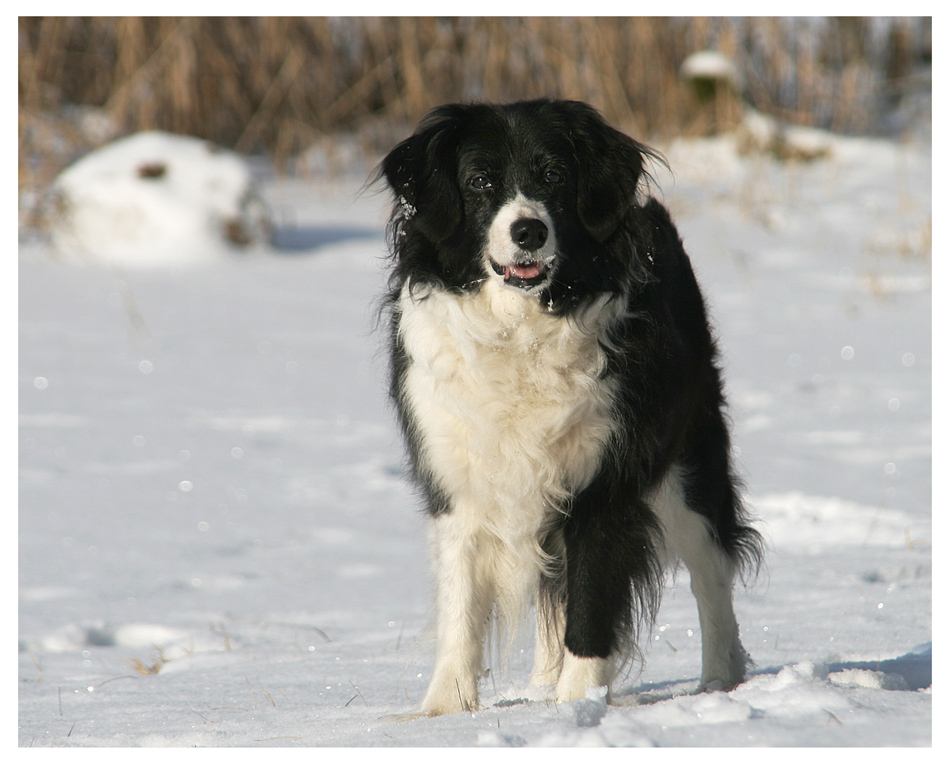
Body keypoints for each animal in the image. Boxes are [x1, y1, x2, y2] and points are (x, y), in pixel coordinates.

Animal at [376, 99, 764, 716]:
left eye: (555, 176)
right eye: (479, 181)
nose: (529, 230)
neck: (521, 329)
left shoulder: (604, 478)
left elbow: (591, 598)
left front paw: (579, 705)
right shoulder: (457, 478)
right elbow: (461, 602)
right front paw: (445, 711)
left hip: (688, 461)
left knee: (712, 566)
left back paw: (719, 683)